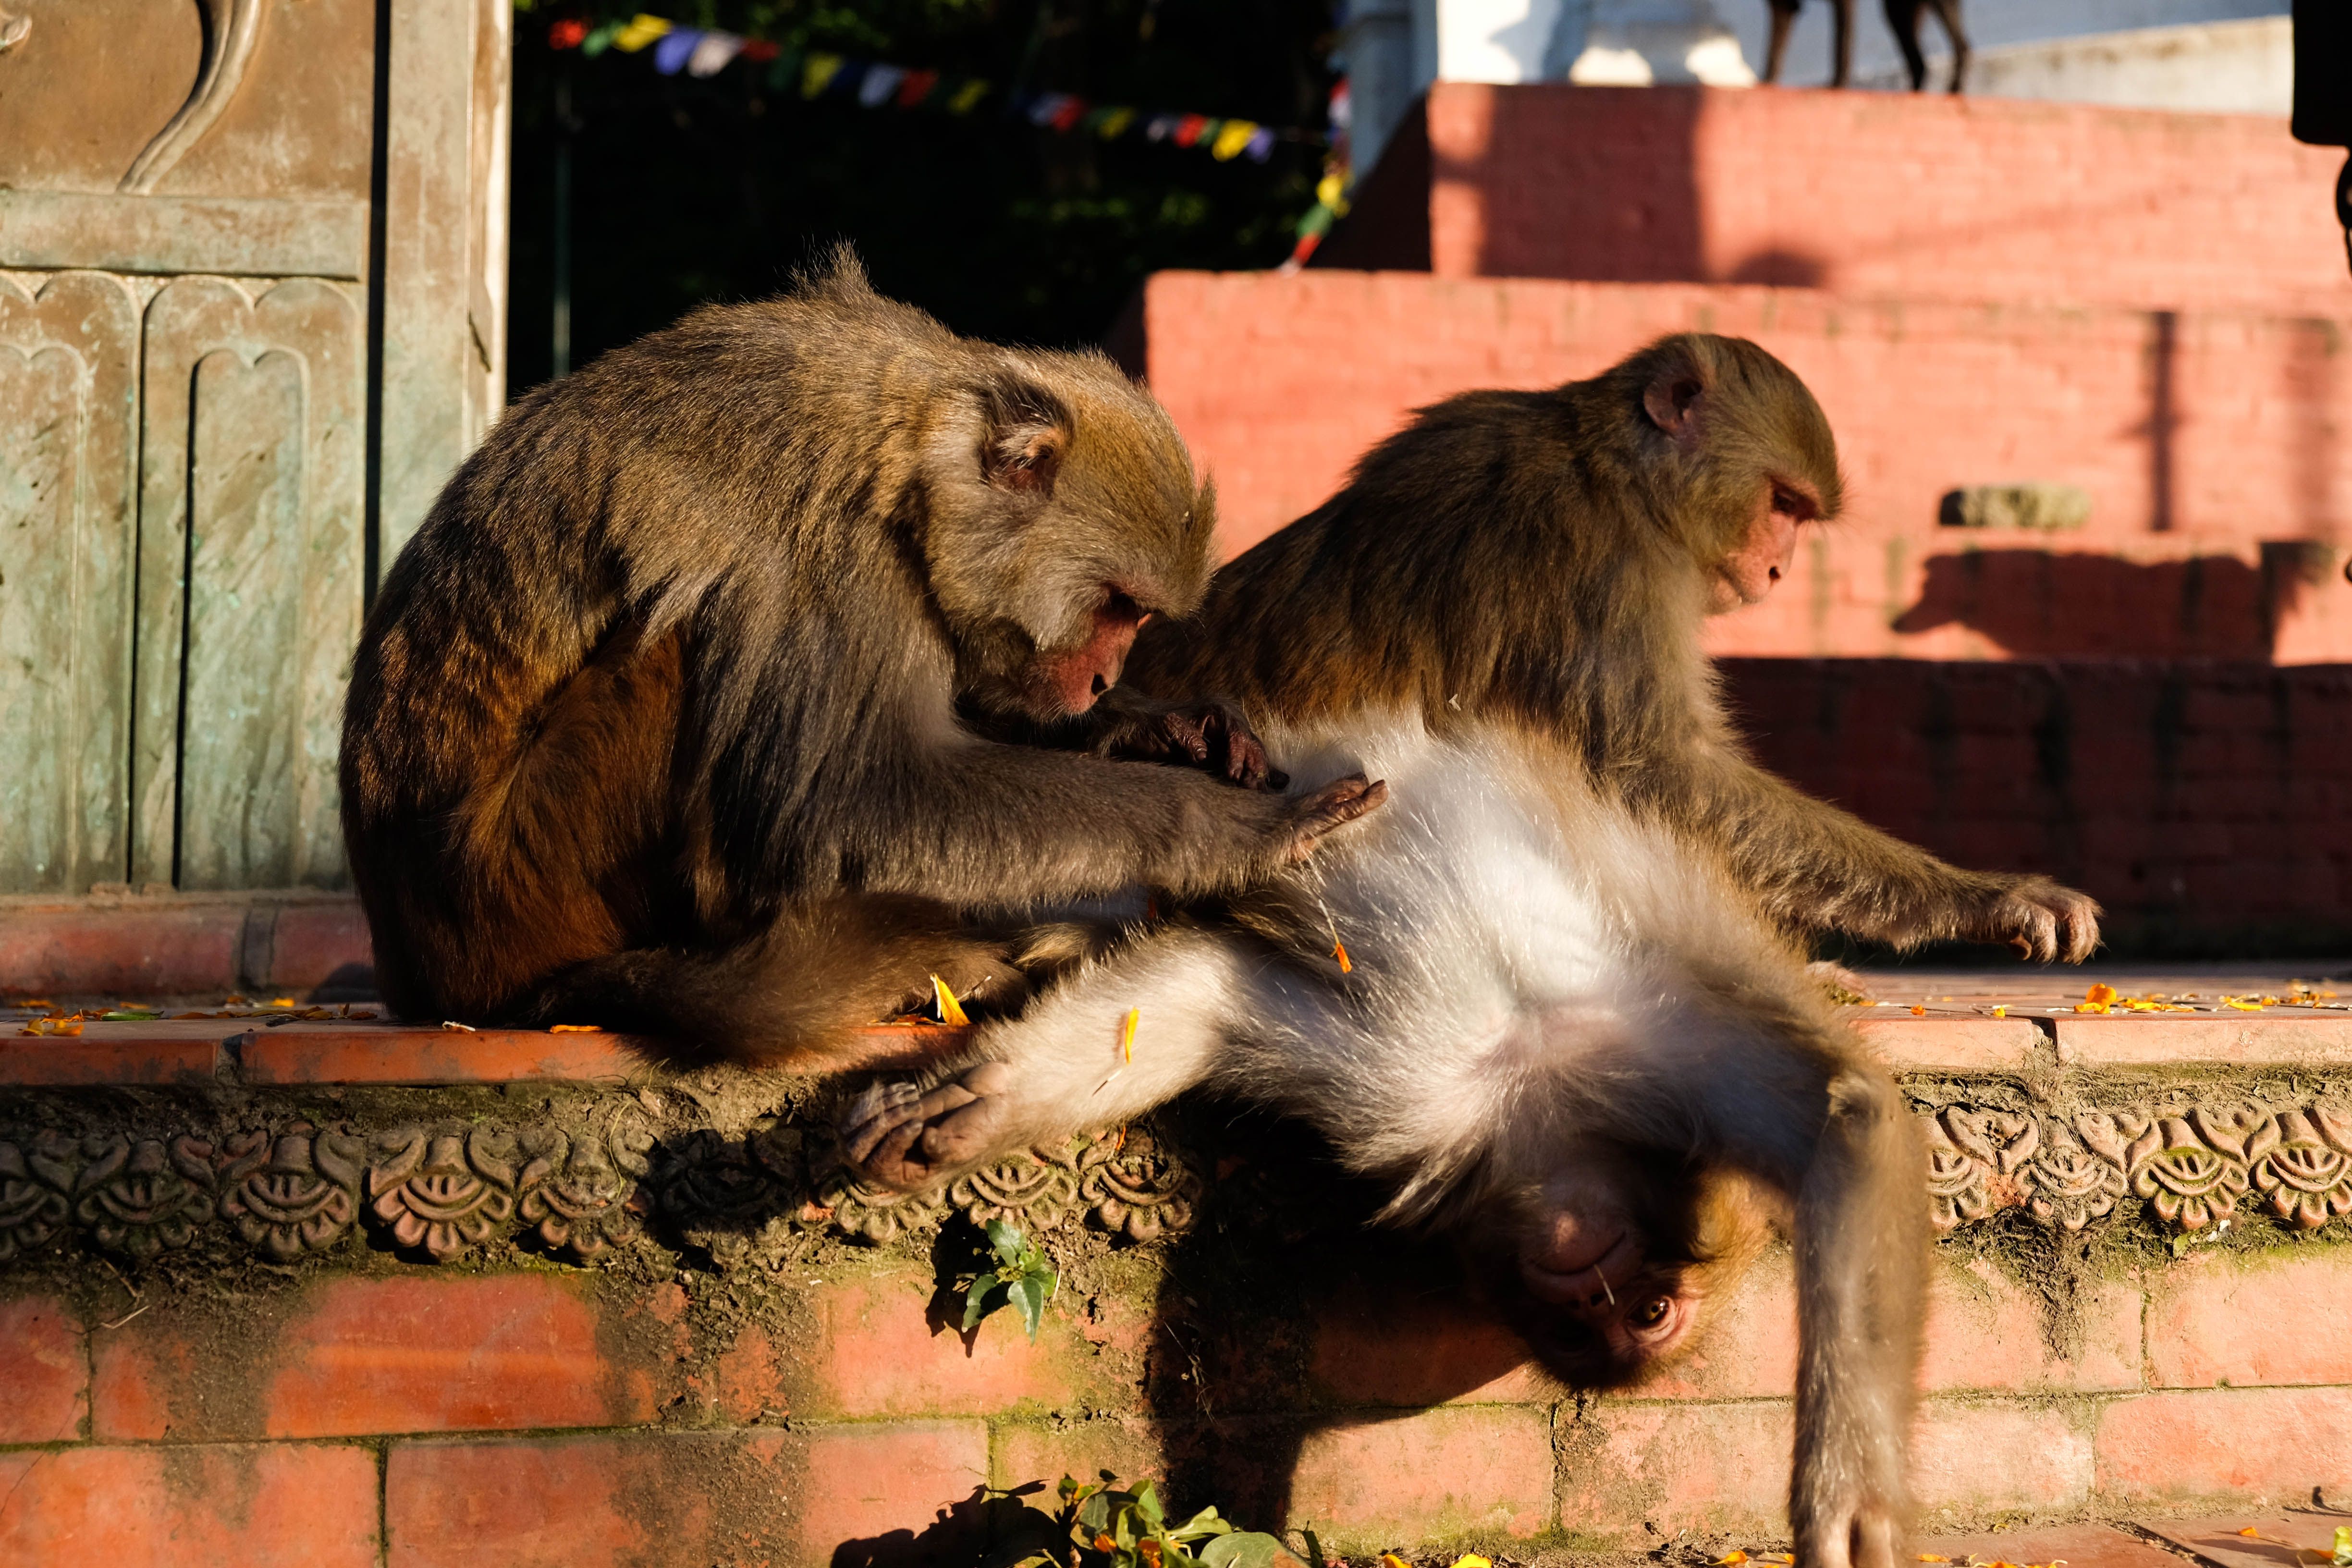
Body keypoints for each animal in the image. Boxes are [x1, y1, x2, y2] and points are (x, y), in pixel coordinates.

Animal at [338, 254, 1386, 1065]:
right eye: (1117, 607)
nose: (1101, 679)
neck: (912, 448)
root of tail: (429, 978)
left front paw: (1170, 729)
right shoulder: (831, 560)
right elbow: (840, 807)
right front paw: (1222, 827)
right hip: (533, 869)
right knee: (690, 640)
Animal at [839, 334, 2094, 1566]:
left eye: (1641, 1315)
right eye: (1785, 507)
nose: (1600, 1299)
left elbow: (1201, 997)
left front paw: (971, 1103)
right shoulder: (1603, 571)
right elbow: (1664, 784)